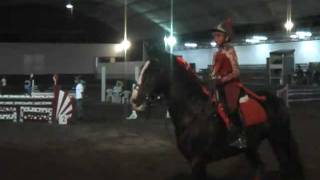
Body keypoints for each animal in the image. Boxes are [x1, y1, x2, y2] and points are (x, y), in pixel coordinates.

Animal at [129, 46, 302, 180]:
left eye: (154, 70)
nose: (135, 100)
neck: (194, 111)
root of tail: (278, 100)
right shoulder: (192, 160)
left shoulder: (198, 161)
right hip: (252, 146)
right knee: (260, 167)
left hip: (278, 138)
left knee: (285, 166)